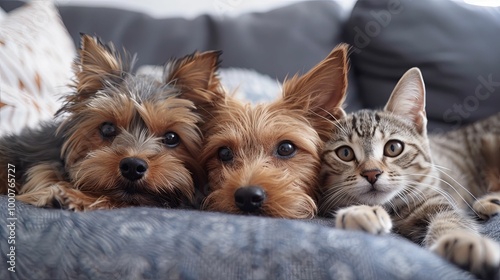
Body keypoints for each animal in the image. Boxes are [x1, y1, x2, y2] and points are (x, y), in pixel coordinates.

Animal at [320, 68, 500, 280]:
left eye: (393, 148)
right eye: (345, 153)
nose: (372, 173)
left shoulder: (438, 201)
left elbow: (451, 220)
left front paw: (462, 241)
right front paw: (361, 212)